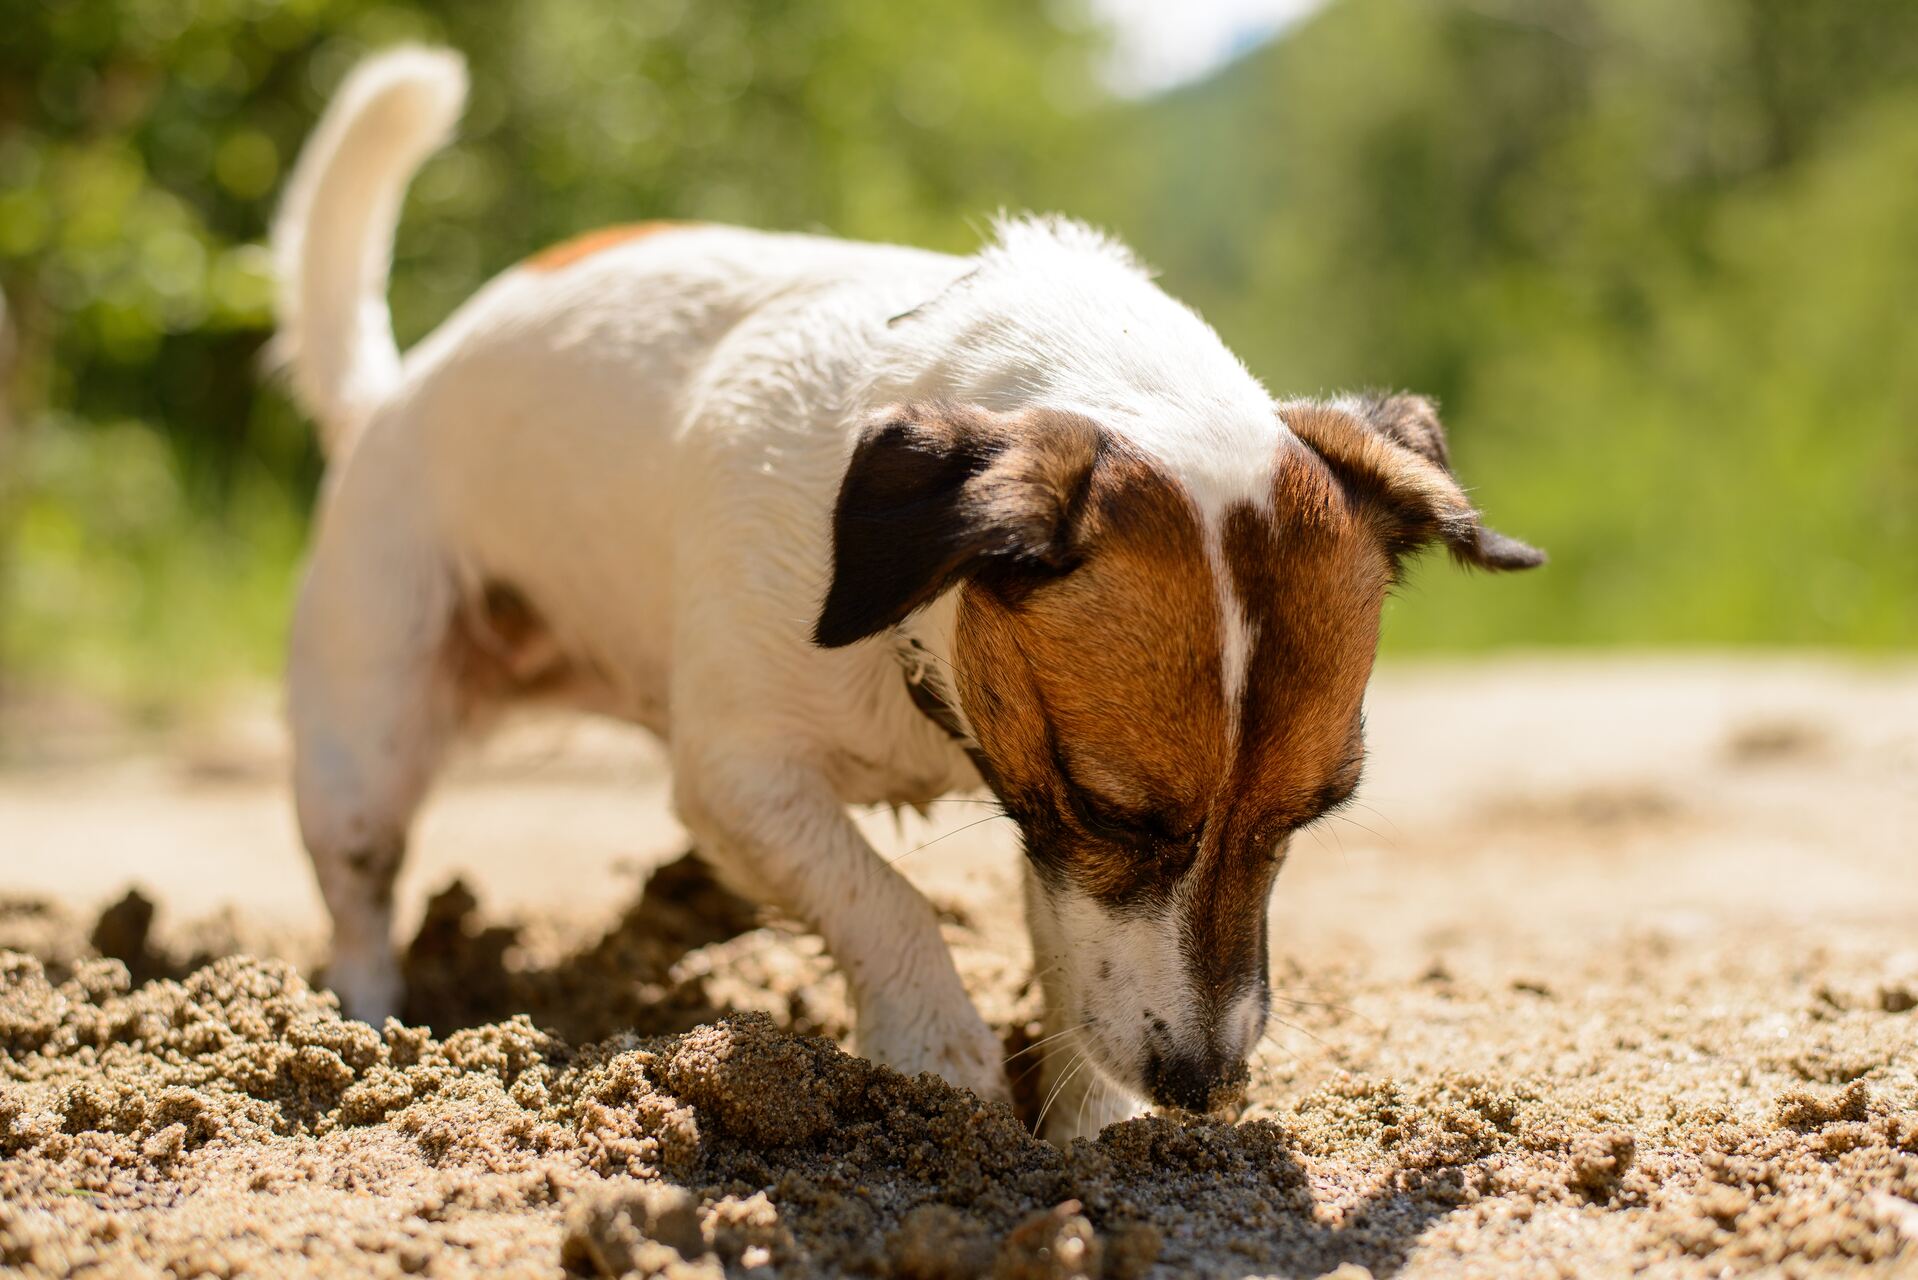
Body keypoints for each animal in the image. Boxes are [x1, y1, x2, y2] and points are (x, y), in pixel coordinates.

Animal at [274, 45, 1542, 1143]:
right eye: (1110, 809)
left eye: (1310, 815)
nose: (1201, 1087)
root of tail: (389, 394)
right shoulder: (746, 776)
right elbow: (882, 898)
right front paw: (939, 1059)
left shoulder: (1031, 816)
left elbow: (1062, 946)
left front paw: (1088, 1116)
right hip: (363, 738)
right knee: (359, 897)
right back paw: (367, 1038)